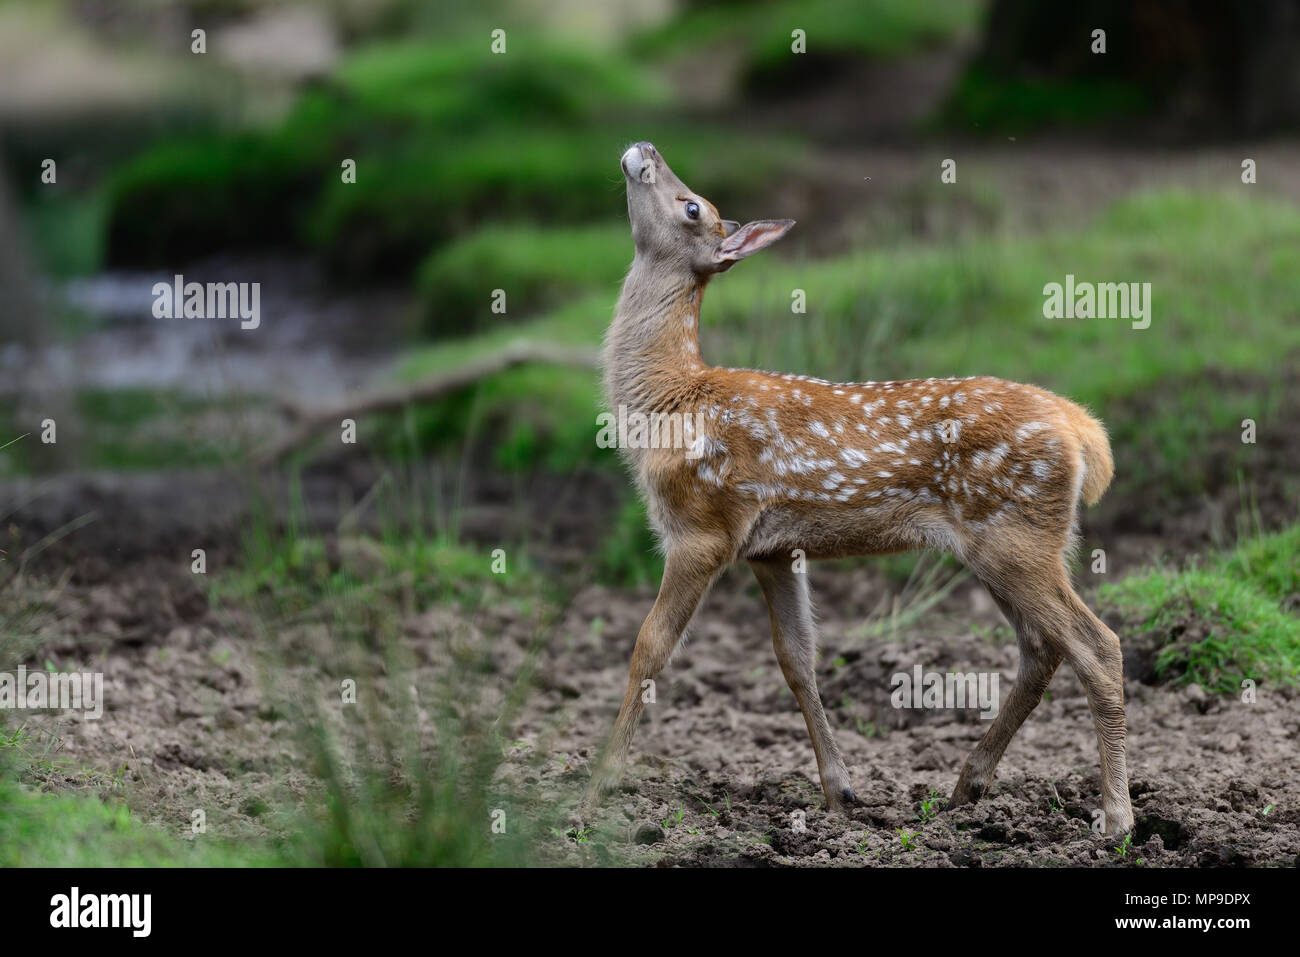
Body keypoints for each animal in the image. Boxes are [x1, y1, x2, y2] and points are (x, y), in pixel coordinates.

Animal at [584, 141, 1134, 837]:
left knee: (1097, 646)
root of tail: (1084, 431)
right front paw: (839, 792)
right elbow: (796, 659)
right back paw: (967, 786)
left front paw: (596, 787)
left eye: (692, 207)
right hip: (1014, 542)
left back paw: (1115, 817)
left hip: (1016, 533)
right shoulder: (770, 549)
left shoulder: (701, 525)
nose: (645, 149)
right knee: (1041, 648)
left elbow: (649, 647)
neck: (667, 400)